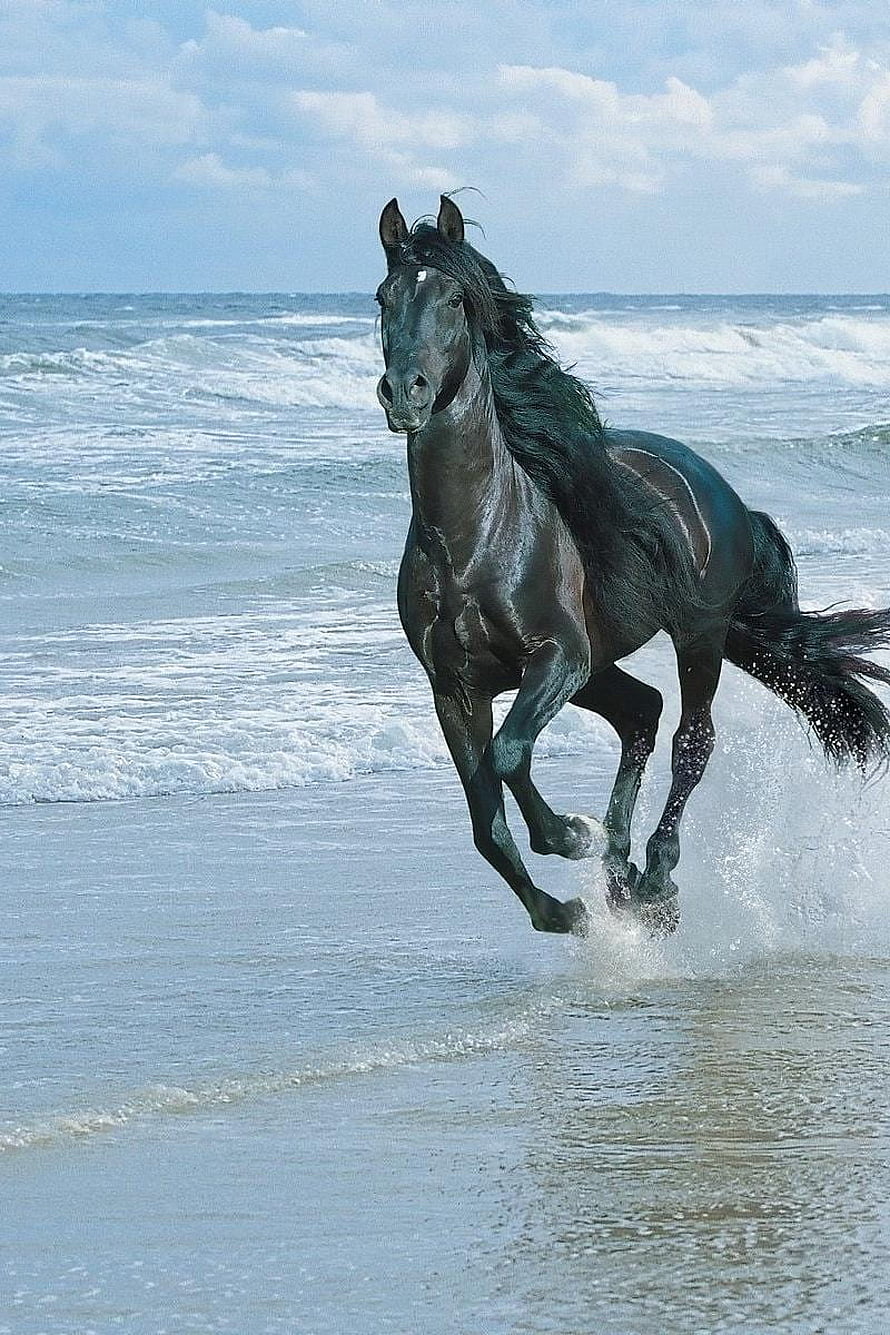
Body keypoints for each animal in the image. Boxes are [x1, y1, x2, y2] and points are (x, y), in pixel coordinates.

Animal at [374, 194, 890, 935]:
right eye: (383, 298)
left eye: (452, 298)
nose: (404, 392)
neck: (473, 543)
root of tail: (718, 489)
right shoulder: (456, 689)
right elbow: (485, 823)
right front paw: (566, 908)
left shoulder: (556, 658)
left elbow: (509, 755)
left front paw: (571, 834)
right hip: (601, 666)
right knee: (642, 714)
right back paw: (621, 876)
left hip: (695, 638)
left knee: (690, 741)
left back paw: (654, 876)